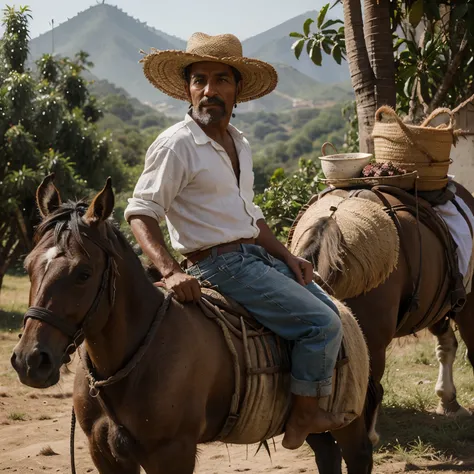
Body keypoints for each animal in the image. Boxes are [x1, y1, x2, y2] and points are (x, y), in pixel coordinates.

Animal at [9, 175, 376, 474]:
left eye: (83, 273)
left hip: (348, 422)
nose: (30, 360)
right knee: (327, 455)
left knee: (357, 457)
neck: (136, 357)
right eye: (27, 266)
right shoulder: (104, 454)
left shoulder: (173, 453)